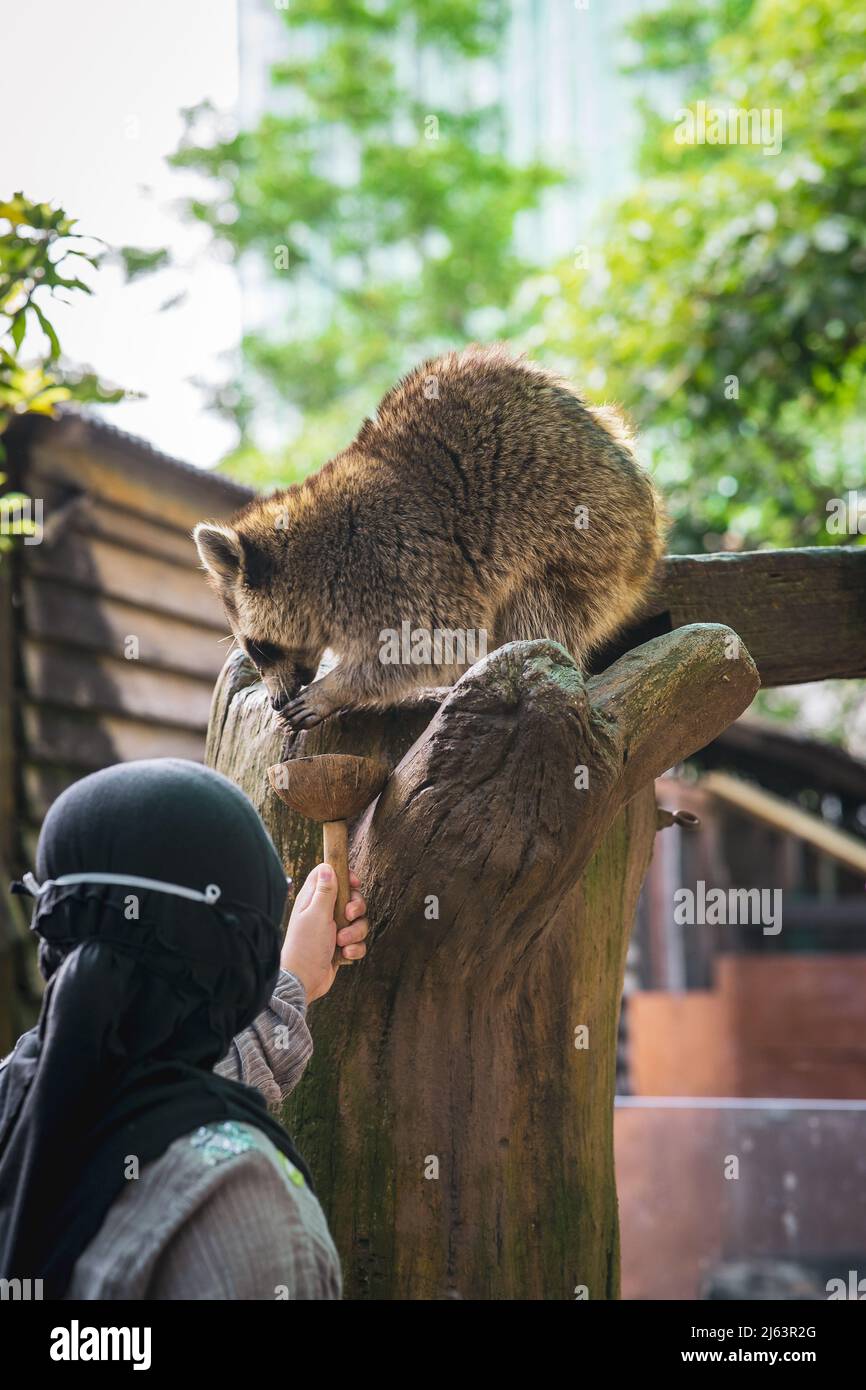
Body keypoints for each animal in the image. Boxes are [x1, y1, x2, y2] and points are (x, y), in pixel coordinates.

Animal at [195, 347, 667, 733]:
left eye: (258, 647)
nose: (276, 701)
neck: (317, 553)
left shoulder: (398, 560)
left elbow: (432, 641)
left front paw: (337, 688)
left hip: (587, 533)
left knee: (538, 613)